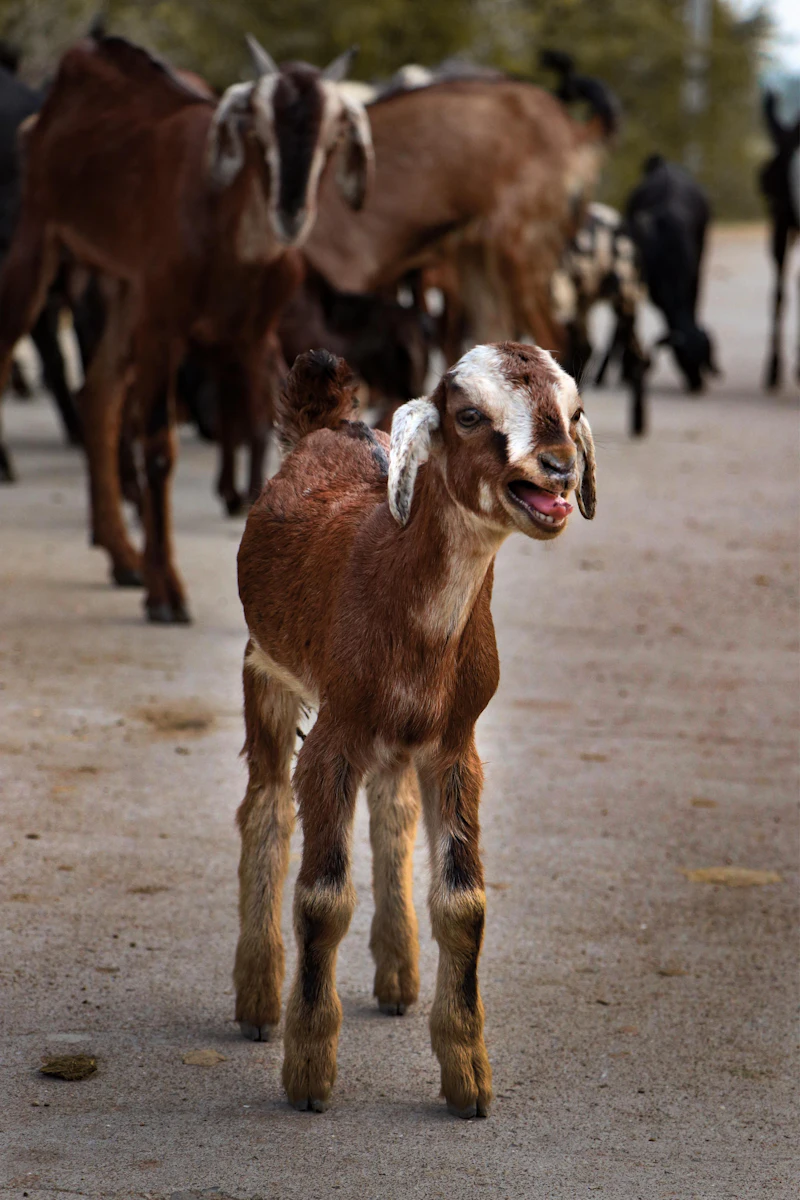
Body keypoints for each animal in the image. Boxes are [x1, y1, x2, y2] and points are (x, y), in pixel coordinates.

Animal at [0, 32, 372, 621]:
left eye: (333, 134)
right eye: (256, 129)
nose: (290, 212)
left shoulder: (253, 337)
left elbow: (266, 430)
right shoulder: (163, 328)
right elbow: (158, 448)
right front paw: (166, 591)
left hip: (122, 288)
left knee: (98, 396)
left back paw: (122, 555)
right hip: (40, 240)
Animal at [235, 341, 596, 1116]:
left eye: (574, 410)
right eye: (469, 415)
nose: (558, 466)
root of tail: (328, 421)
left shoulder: (457, 744)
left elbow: (464, 902)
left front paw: (468, 1078)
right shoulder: (335, 732)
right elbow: (322, 897)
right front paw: (309, 1071)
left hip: (400, 738)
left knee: (392, 806)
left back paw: (398, 976)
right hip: (266, 669)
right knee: (266, 807)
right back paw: (256, 999)